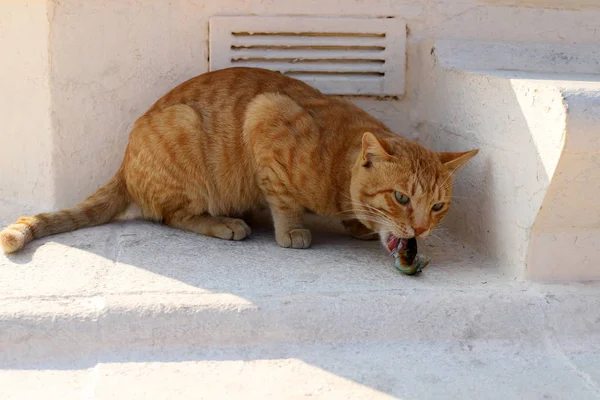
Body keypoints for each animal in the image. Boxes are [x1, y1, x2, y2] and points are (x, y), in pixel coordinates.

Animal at [1, 65, 478, 253]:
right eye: (401, 198)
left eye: (438, 206)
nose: (420, 229)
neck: (337, 168)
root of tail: (123, 161)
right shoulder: (266, 117)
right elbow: (284, 201)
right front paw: (292, 232)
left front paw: (357, 226)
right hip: (183, 129)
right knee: (172, 216)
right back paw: (226, 223)